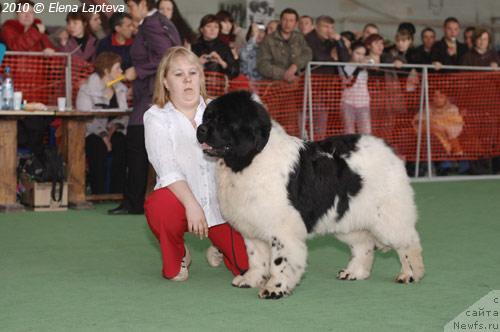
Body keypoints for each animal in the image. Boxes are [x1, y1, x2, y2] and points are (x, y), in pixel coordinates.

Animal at [197, 91, 424, 300]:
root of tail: (390, 150)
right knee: (364, 244)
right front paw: (250, 279)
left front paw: (275, 288)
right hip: (347, 218)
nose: (200, 129)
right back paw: (354, 272)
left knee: (409, 242)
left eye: (224, 121)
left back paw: (410, 274)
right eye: (207, 117)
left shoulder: (282, 229)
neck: (250, 159)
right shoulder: (252, 226)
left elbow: (280, 261)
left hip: (388, 217)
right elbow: (256, 258)